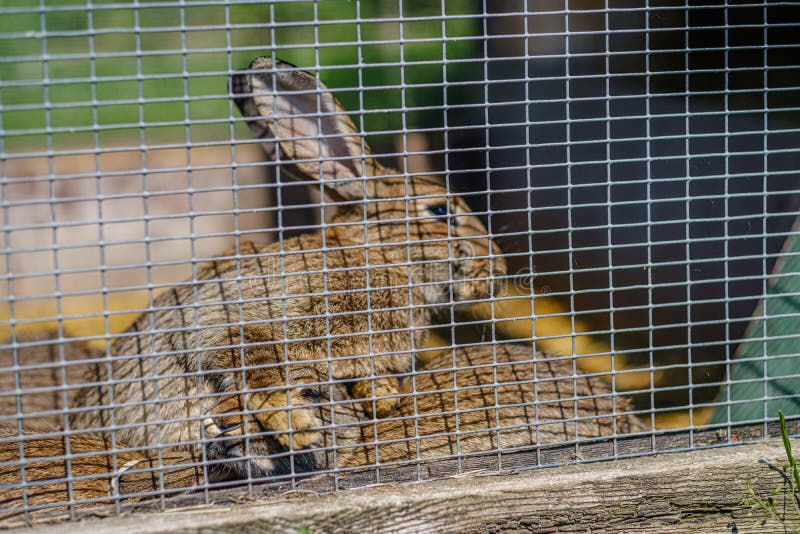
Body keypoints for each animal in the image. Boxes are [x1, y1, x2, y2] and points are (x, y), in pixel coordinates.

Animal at [70, 56, 506, 458]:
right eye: (440, 211)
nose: (498, 271)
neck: (378, 259)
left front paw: (381, 398)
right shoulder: (234, 322)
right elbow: (260, 371)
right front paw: (296, 424)